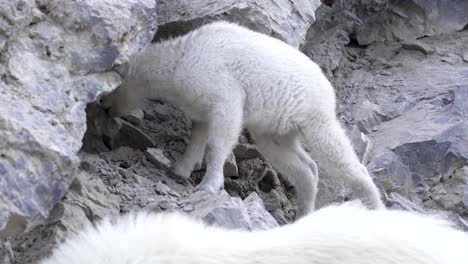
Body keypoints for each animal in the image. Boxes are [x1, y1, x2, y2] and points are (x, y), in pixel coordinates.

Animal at [101, 21, 384, 217]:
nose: (103, 106)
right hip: (277, 125)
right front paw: (178, 170)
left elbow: (222, 130)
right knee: (293, 160)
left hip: (313, 112)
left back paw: (375, 206)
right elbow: (198, 132)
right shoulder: (196, 99)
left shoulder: (221, 86)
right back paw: (303, 211)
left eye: (110, 86)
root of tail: (326, 81)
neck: (180, 57)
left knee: (334, 151)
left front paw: (208, 185)